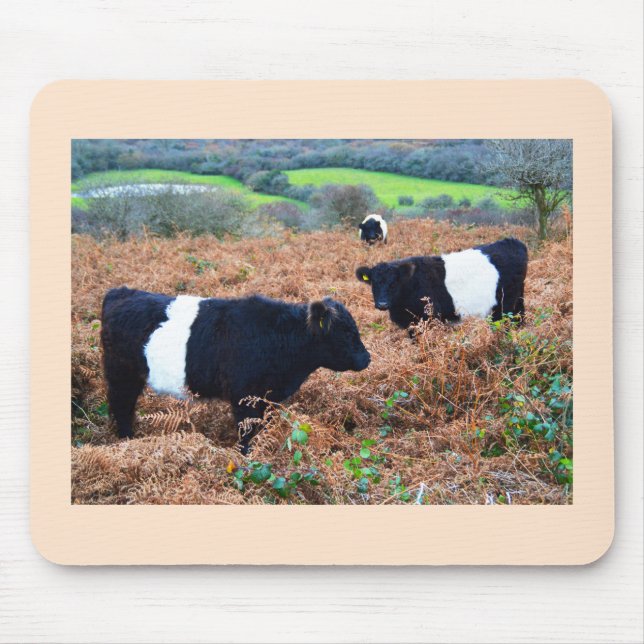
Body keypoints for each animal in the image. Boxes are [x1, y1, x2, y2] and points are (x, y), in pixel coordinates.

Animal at [100, 287, 371, 454]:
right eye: (346, 332)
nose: (366, 358)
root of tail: (120, 292)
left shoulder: (268, 398)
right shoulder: (244, 397)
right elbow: (247, 431)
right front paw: (246, 456)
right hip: (121, 376)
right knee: (121, 407)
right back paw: (127, 440)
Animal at [356, 237, 528, 329]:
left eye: (394, 283)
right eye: (374, 284)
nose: (382, 304)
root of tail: (513, 241)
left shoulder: (428, 319)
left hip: (504, 306)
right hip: (518, 300)